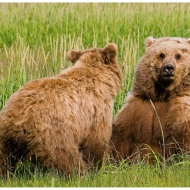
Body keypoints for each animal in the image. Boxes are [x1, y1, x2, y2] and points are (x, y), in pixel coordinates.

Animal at [0, 43, 121, 177]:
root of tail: (18, 120)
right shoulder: (97, 110)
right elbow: (96, 142)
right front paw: (95, 168)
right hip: (53, 133)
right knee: (65, 156)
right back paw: (79, 173)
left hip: (4, 135)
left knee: (3, 158)